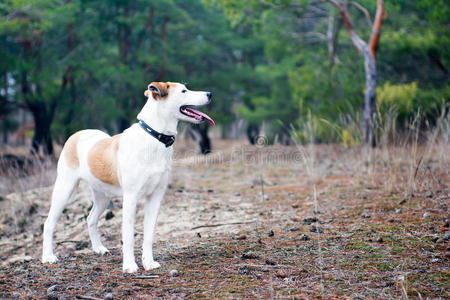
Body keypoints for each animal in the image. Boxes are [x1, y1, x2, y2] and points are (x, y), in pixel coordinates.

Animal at [41, 81, 214, 272]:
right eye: (184, 91)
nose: (210, 94)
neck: (154, 137)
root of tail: (76, 134)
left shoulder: (155, 197)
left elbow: (148, 235)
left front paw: (148, 262)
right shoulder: (131, 197)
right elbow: (129, 236)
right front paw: (130, 265)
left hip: (102, 196)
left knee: (91, 219)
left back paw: (98, 248)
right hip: (64, 189)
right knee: (48, 223)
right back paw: (48, 257)